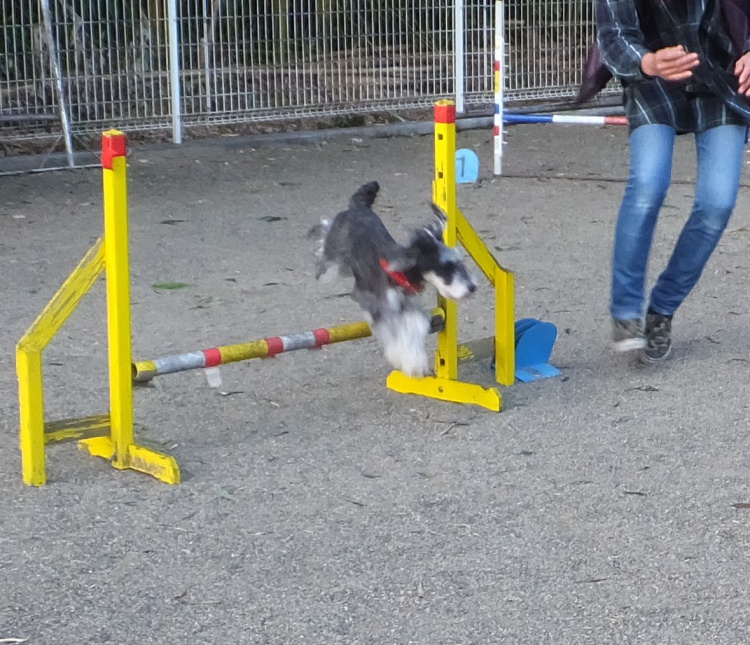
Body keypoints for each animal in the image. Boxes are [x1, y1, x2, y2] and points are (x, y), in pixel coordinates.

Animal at [308, 181, 477, 377]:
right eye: (446, 268)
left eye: (460, 262)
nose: (472, 287)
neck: (401, 272)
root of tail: (359, 206)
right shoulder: (381, 306)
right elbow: (395, 332)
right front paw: (411, 362)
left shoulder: (407, 305)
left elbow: (414, 324)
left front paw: (411, 359)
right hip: (335, 253)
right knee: (325, 234)